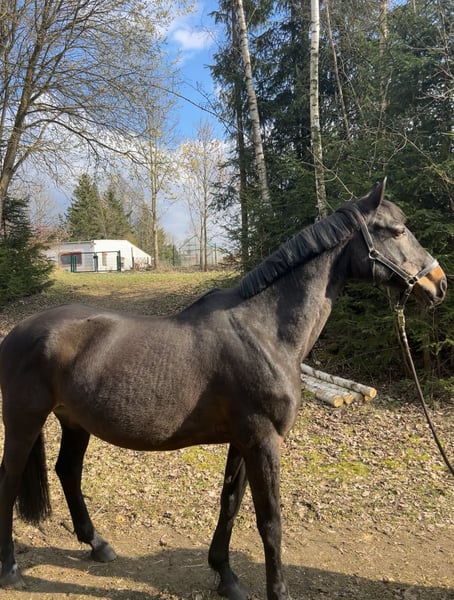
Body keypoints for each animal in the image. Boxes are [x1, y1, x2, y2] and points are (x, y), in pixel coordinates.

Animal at [0, 180, 447, 600]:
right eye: (397, 230)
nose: (438, 283)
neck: (265, 332)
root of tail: (17, 332)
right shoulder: (263, 439)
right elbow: (270, 521)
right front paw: (276, 590)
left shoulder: (243, 440)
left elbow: (230, 503)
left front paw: (225, 575)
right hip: (24, 421)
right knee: (10, 477)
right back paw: (10, 569)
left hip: (75, 422)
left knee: (68, 472)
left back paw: (97, 544)